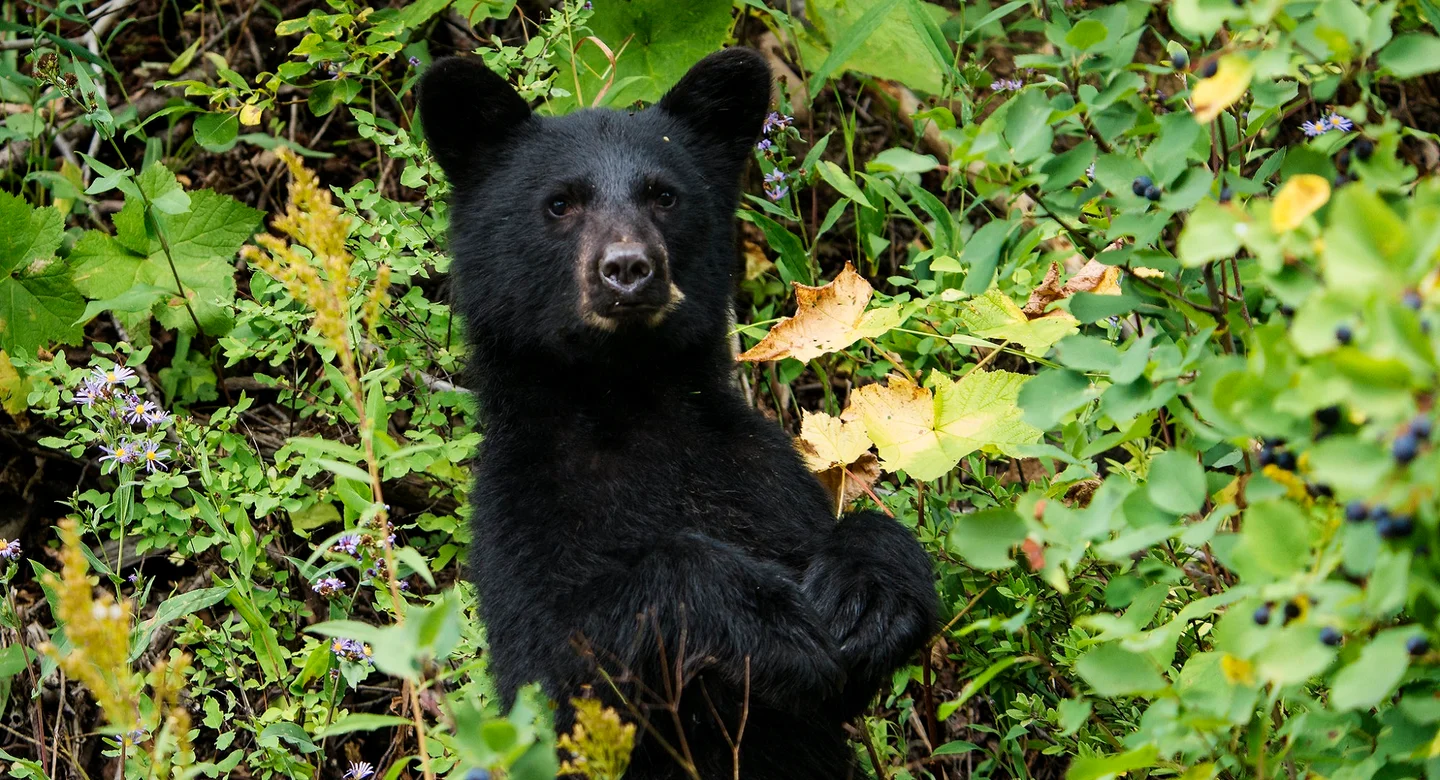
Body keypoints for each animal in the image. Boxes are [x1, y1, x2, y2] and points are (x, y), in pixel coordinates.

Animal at [420, 50, 933, 780]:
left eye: (663, 195)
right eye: (560, 202)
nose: (629, 268)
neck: (626, 399)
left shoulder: (756, 476)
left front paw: (866, 598)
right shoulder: (524, 511)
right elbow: (563, 657)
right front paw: (763, 617)